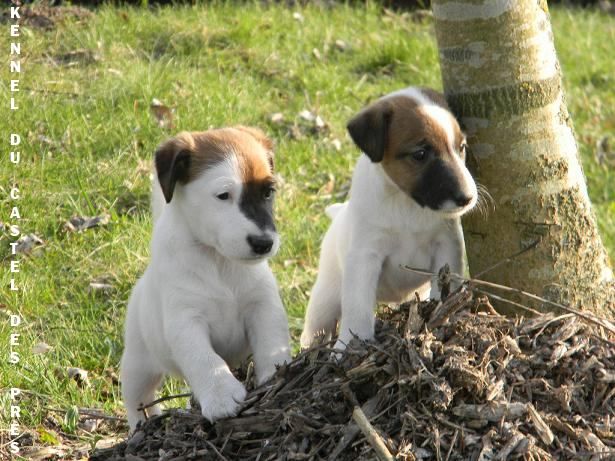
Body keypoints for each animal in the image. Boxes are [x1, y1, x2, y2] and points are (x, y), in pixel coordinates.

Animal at [122, 126, 294, 432]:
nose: (264, 243)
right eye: (224, 195)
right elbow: (204, 359)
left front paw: (276, 372)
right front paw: (221, 394)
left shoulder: (263, 306)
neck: (219, 261)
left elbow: (272, 341)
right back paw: (140, 428)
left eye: (268, 192)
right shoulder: (185, 321)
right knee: (137, 401)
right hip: (138, 367)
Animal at [300, 87, 478, 348]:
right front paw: (349, 346)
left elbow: (445, 285)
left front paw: (441, 310)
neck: (406, 205)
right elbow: (357, 307)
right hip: (324, 301)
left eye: (461, 146)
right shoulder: (365, 256)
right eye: (420, 154)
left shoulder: (446, 244)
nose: (467, 198)